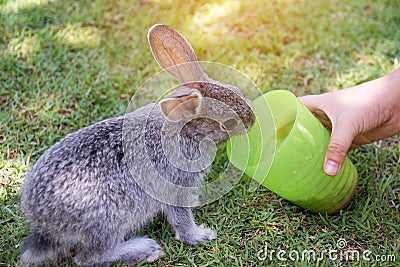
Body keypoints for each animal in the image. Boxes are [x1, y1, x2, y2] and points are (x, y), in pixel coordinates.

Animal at [20, 24, 255, 266]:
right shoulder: (175, 185)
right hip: (108, 224)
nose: (252, 120)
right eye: (229, 123)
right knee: (89, 258)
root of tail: (45, 226)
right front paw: (200, 236)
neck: (187, 132)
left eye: (236, 90)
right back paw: (146, 249)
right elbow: (181, 219)